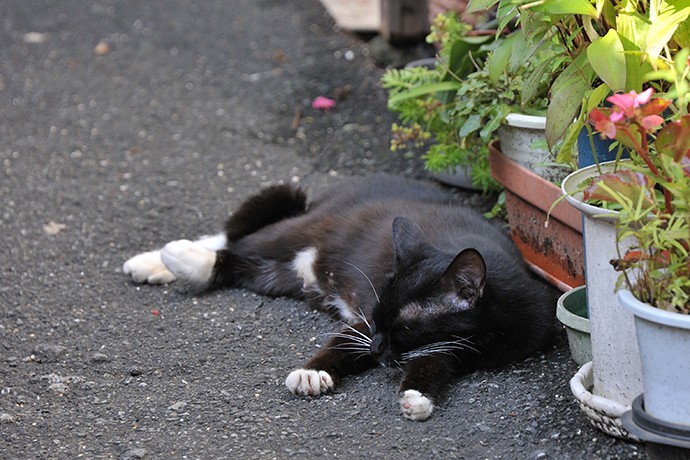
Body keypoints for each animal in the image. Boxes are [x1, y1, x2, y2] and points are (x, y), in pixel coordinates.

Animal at [122, 174, 552, 418]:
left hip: (279, 276)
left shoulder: (458, 347)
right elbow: (344, 342)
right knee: (235, 244)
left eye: (402, 328)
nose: (376, 349)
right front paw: (313, 374)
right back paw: (169, 257)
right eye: (377, 318)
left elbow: (433, 364)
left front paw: (416, 397)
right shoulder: (361, 323)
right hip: (305, 229)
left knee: (243, 260)